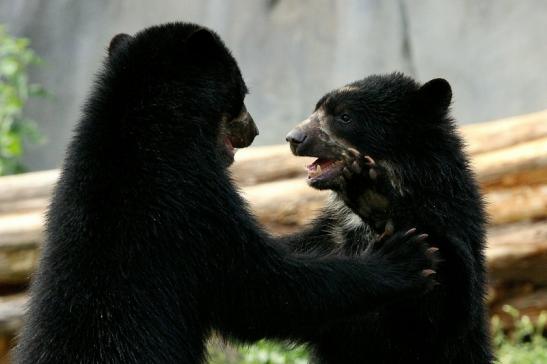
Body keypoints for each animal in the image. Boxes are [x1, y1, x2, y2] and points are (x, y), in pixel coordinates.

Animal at [284, 72, 494, 362]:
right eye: (316, 109)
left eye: (345, 117)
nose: (294, 138)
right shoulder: (329, 237)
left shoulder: (455, 221)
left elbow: (441, 307)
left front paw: (369, 191)